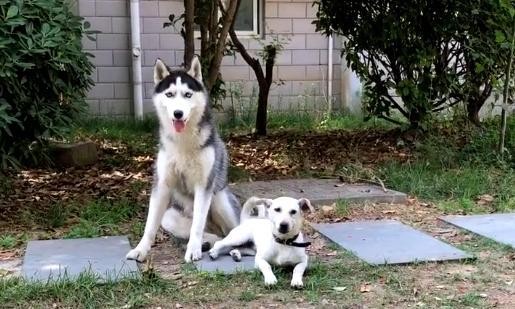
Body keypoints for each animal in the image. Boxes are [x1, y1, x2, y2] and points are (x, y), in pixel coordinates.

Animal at [129, 56, 242, 262]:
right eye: (170, 94)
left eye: (188, 95)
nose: (178, 113)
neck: (183, 142)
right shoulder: (162, 185)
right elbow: (150, 225)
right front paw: (141, 249)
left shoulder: (204, 185)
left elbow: (197, 224)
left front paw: (193, 250)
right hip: (170, 218)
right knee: (214, 235)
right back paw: (208, 243)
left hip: (220, 199)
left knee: (235, 231)